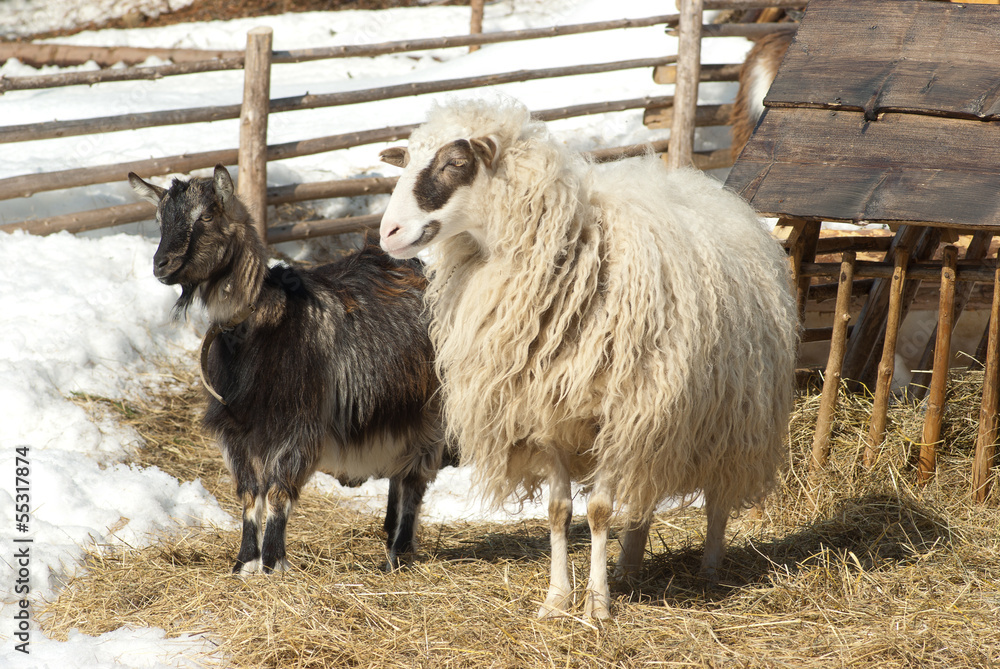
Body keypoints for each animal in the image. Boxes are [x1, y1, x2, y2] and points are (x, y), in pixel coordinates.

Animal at [129, 165, 444, 574]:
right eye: (160, 218)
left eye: (208, 215)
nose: (161, 265)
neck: (260, 325)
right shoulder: (238, 433)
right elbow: (250, 496)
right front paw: (244, 563)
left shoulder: (298, 427)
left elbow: (278, 493)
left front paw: (272, 562)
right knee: (398, 473)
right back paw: (390, 540)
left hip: (428, 411)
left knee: (414, 478)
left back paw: (400, 553)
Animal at [376, 97, 799, 619]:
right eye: (406, 159)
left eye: (454, 163)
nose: (389, 233)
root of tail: (706, 186)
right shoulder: (548, 419)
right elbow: (559, 513)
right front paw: (558, 600)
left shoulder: (619, 414)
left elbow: (598, 512)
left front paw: (596, 606)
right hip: (664, 424)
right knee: (645, 495)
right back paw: (629, 564)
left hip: (733, 417)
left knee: (719, 495)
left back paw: (709, 570)